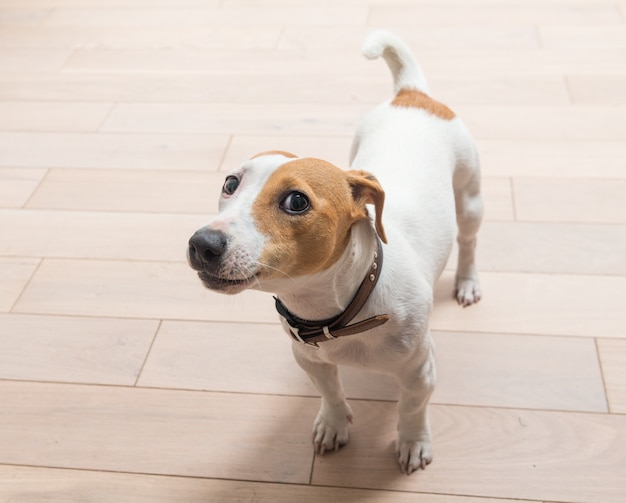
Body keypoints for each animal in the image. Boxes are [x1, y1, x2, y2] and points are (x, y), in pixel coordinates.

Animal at [188, 29, 480, 474]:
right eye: (230, 183)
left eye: (296, 201)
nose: (202, 244)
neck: (339, 310)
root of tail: (411, 94)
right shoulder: (309, 359)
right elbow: (329, 392)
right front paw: (333, 423)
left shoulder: (419, 371)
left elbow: (412, 409)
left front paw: (413, 443)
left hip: (469, 197)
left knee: (468, 243)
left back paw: (467, 281)